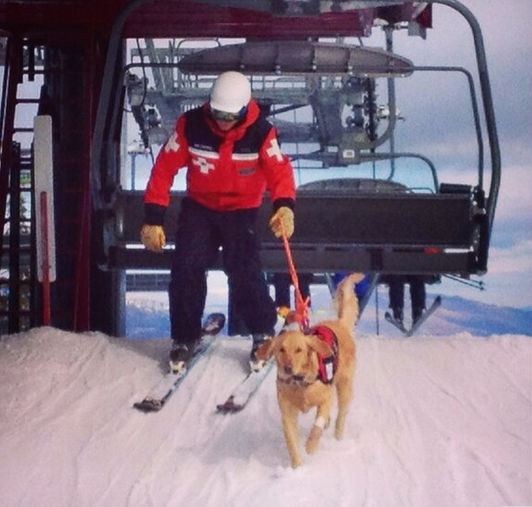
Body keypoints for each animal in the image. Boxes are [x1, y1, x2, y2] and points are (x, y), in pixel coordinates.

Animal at [256, 274, 364, 468]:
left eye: (299, 350)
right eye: (281, 350)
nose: (288, 368)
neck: (300, 383)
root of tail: (340, 324)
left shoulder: (326, 398)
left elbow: (317, 425)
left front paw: (311, 445)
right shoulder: (287, 413)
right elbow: (292, 443)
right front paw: (297, 468)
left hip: (344, 387)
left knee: (340, 416)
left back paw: (337, 436)